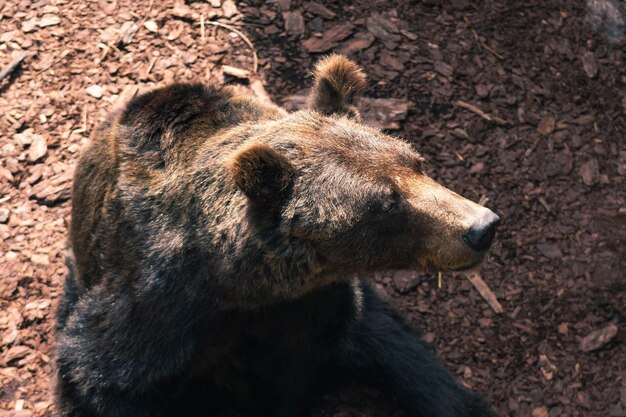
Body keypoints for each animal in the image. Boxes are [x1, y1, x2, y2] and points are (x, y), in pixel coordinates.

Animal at [56, 55, 500, 416]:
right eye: (388, 203)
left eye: (416, 163)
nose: (481, 227)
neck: (241, 289)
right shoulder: (154, 319)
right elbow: (97, 379)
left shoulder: (316, 313)